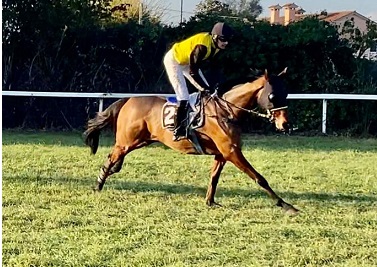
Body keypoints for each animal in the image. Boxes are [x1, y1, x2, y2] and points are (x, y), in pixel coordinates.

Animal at [83, 69, 298, 216]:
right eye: (272, 96)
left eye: (286, 93)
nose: (285, 124)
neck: (226, 110)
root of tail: (128, 100)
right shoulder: (232, 151)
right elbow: (259, 178)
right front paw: (286, 205)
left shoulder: (222, 154)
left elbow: (214, 178)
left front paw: (210, 201)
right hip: (127, 142)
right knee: (111, 158)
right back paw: (98, 185)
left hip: (139, 141)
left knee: (115, 161)